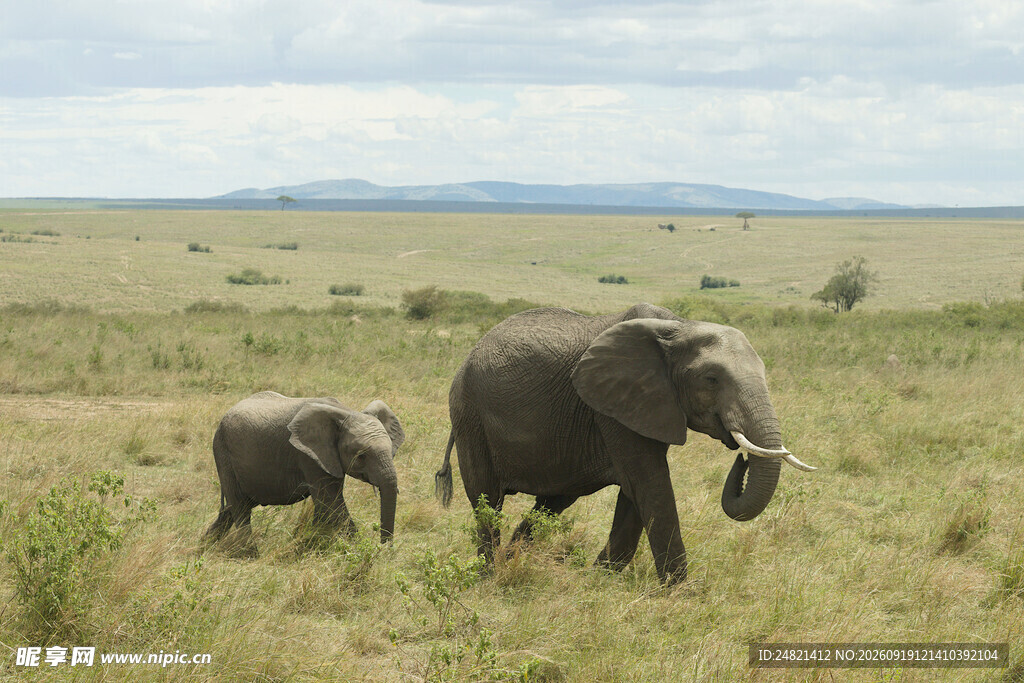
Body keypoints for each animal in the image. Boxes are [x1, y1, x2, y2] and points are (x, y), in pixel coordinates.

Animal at [204, 391, 405, 553]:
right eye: (361, 456)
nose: (385, 549)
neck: (346, 412)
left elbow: (325, 505)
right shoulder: (309, 455)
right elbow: (330, 502)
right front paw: (359, 549)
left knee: (231, 509)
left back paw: (204, 546)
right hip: (223, 453)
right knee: (240, 508)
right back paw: (251, 555)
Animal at [434, 303, 814, 584]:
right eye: (711, 379)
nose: (743, 458)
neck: (679, 326)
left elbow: (637, 491)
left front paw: (601, 578)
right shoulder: (613, 406)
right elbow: (650, 483)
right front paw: (680, 592)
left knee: (552, 502)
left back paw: (511, 560)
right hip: (470, 416)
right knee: (487, 498)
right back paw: (489, 574)